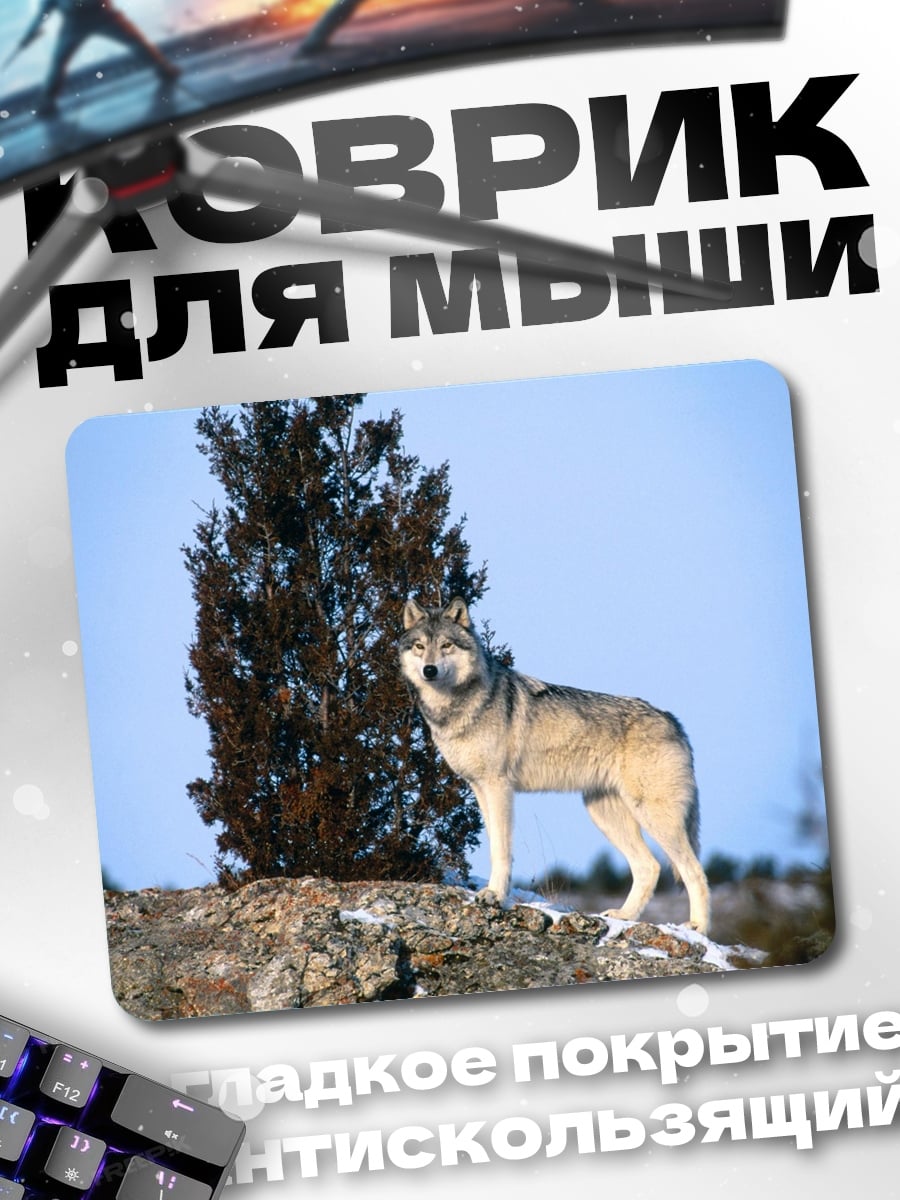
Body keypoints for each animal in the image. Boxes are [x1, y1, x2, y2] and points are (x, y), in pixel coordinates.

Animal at [399, 597, 710, 933]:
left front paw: (495, 896)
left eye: (446, 645)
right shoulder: (480, 788)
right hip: (603, 813)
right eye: (420, 646)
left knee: (695, 871)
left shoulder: (499, 787)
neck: (458, 706)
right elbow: (495, 845)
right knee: (648, 866)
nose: (429, 670)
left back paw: (698, 929)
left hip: (654, 816)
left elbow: (502, 850)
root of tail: (672, 720)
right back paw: (624, 916)